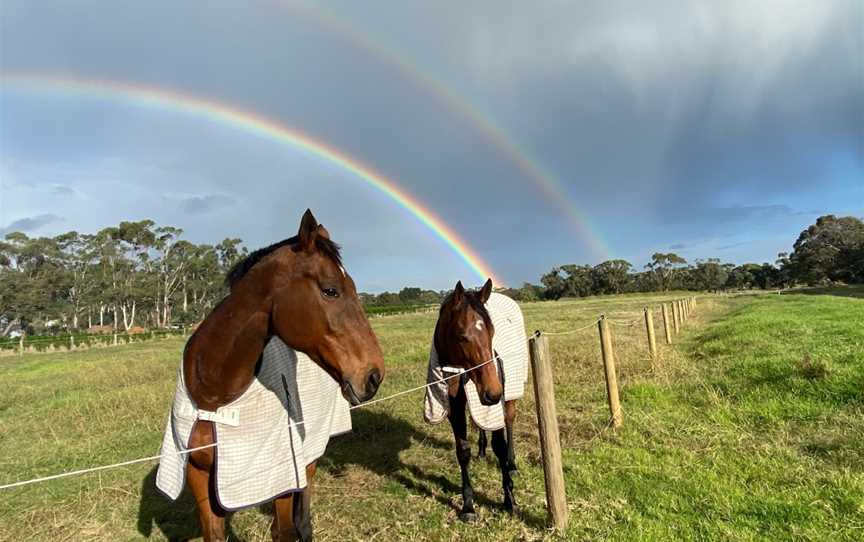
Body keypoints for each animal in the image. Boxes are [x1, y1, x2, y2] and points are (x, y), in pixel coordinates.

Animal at [182, 210, 384, 540]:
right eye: (331, 290)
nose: (374, 375)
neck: (214, 395)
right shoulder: (199, 477)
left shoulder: (282, 480)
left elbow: (284, 529)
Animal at [436, 280, 516, 524]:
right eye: (462, 336)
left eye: (492, 331)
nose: (493, 393)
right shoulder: (455, 409)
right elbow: (463, 451)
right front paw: (468, 505)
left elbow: (500, 446)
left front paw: (509, 498)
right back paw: (481, 450)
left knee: (510, 421)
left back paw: (512, 463)